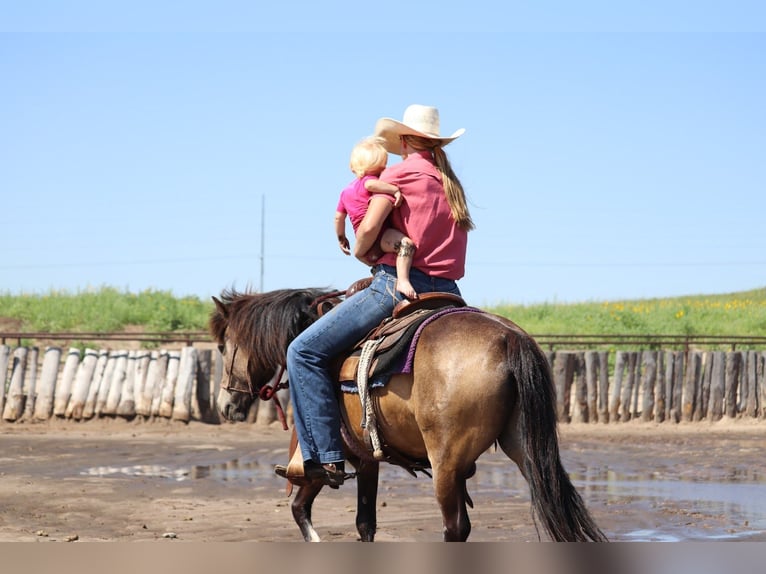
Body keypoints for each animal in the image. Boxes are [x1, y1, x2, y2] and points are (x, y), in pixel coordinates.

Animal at [209, 286, 607, 542]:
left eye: (223, 346)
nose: (225, 404)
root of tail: (509, 338)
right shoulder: (367, 460)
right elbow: (363, 524)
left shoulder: (325, 462)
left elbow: (302, 509)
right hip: (524, 449)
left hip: (446, 465)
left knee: (455, 529)